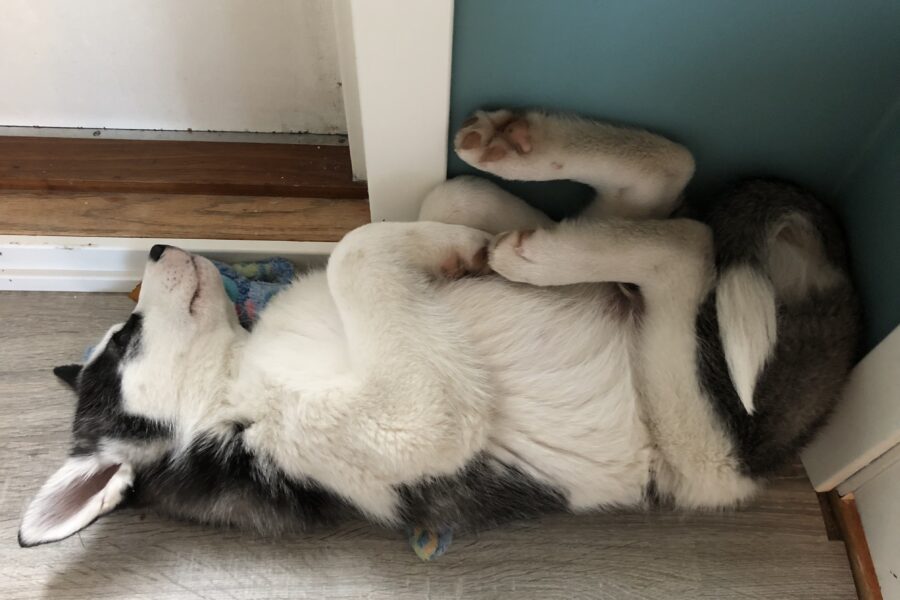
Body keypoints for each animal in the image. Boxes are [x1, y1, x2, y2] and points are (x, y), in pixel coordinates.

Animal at [15, 109, 856, 548]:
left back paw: (520, 170)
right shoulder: (412, 423)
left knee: (653, 182)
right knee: (687, 248)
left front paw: (460, 244)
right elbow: (354, 251)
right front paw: (460, 247)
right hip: (697, 426)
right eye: (126, 337)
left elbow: (407, 222)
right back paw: (548, 244)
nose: (158, 247)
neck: (234, 384)